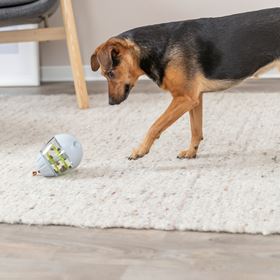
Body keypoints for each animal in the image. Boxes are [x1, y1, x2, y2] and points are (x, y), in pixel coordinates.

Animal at [91, 8, 280, 160]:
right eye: (104, 75)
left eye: (110, 73)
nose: (111, 103)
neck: (159, 47)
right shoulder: (195, 99)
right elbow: (196, 130)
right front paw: (191, 152)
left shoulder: (184, 98)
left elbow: (155, 125)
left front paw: (140, 150)